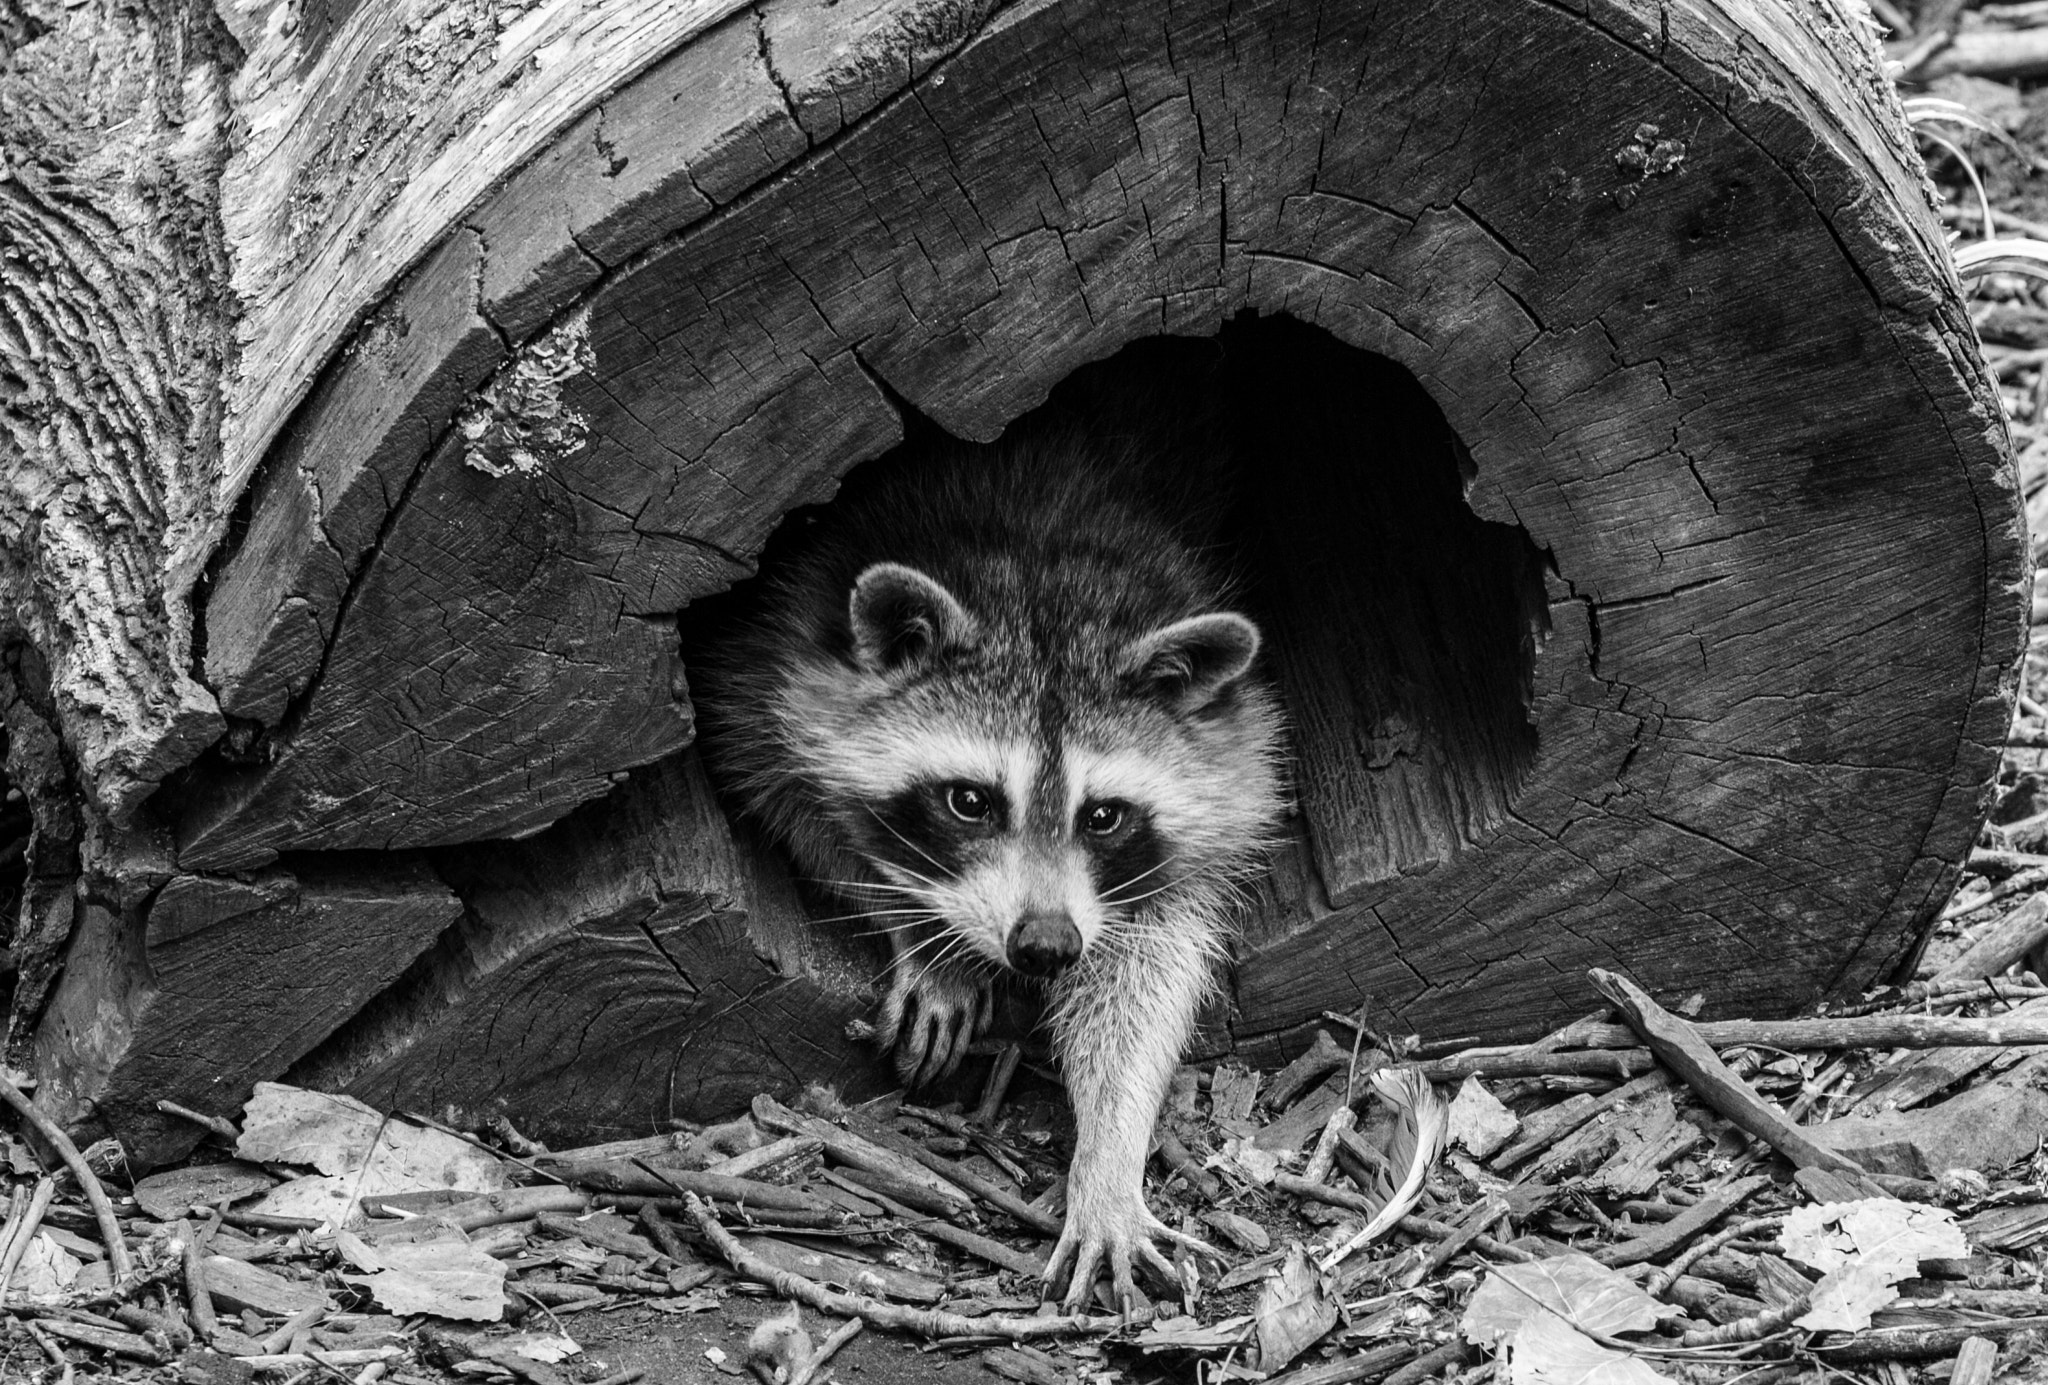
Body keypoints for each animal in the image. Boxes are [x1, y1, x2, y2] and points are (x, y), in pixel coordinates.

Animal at [695, 404, 1287, 1310]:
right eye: (969, 801)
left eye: (1103, 815)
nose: (1043, 944)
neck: (1042, 573)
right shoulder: (774, 659)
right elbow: (794, 799)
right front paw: (926, 936)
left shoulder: (1226, 776)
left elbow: (1145, 976)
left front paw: (1110, 1154)